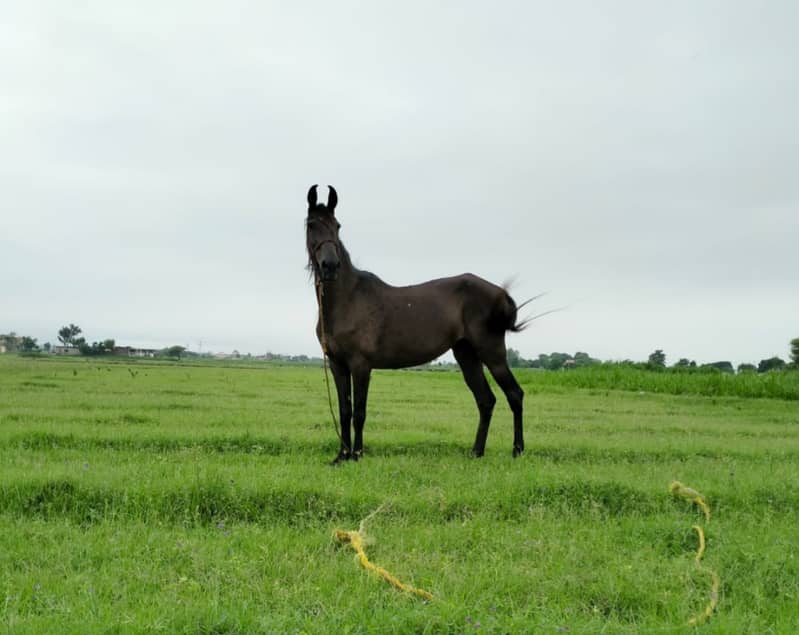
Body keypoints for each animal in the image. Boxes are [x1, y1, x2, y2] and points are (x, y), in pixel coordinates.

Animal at [304, 184, 524, 462]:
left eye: (337, 226)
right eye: (311, 225)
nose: (330, 266)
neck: (348, 299)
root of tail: (499, 294)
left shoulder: (361, 365)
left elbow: (359, 413)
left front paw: (357, 454)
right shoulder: (337, 364)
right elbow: (344, 410)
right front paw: (341, 456)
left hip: (492, 353)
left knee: (514, 395)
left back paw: (517, 450)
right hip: (467, 355)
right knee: (486, 400)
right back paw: (476, 452)